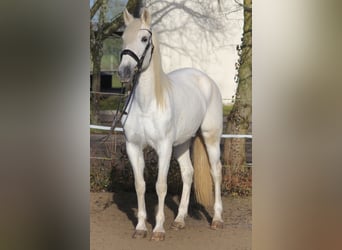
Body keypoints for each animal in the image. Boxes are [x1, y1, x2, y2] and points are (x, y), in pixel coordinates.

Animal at [117, 8, 224, 241]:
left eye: (144, 39)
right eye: (123, 38)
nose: (124, 72)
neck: (147, 104)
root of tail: (206, 79)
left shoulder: (164, 148)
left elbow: (160, 186)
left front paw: (158, 229)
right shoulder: (133, 147)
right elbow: (140, 185)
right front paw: (141, 227)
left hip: (210, 137)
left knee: (216, 172)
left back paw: (217, 220)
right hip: (182, 144)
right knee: (188, 173)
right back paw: (180, 219)